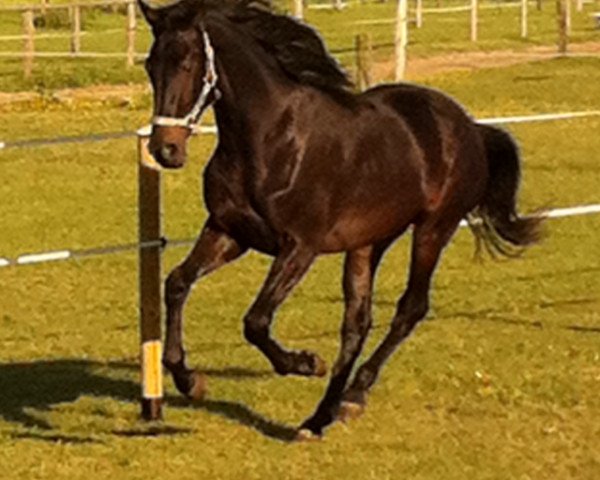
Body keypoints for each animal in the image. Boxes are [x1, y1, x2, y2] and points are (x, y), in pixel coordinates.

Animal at [138, 0, 540, 438]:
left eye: (188, 62)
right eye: (150, 64)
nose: (165, 150)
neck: (272, 139)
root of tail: (470, 127)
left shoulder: (300, 246)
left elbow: (256, 320)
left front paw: (305, 362)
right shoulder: (230, 232)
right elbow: (177, 283)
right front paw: (189, 380)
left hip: (435, 228)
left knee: (410, 308)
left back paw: (351, 397)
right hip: (369, 242)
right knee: (357, 322)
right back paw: (322, 416)